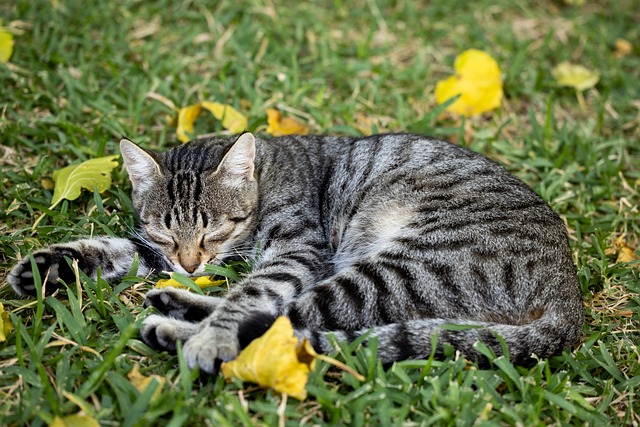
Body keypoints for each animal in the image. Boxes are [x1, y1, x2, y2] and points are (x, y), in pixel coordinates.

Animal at [6, 132, 584, 372]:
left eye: (215, 231)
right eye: (170, 235)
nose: (191, 264)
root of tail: (570, 295)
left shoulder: (297, 252)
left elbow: (250, 296)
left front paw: (207, 335)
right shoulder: (159, 252)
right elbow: (118, 249)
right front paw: (49, 265)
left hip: (394, 271)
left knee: (280, 320)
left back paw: (181, 331)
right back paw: (175, 305)